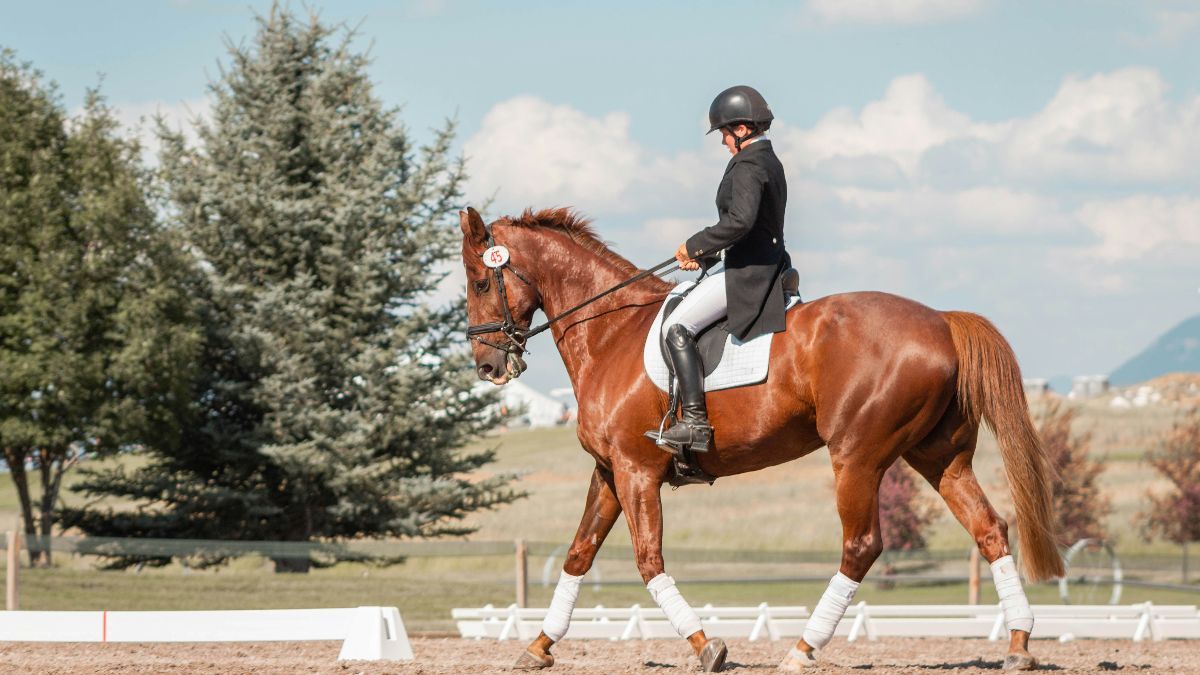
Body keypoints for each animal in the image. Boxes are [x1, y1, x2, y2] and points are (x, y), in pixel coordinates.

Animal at [456, 206, 1060, 667]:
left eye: (482, 281)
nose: (487, 366)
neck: (610, 332)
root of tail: (940, 320)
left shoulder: (636, 471)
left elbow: (648, 560)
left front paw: (707, 647)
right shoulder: (609, 470)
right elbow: (579, 554)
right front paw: (538, 646)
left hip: (857, 457)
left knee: (861, 546)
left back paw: (802, 650)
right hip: (938, 457)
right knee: (989, 528)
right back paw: (1019, 644)